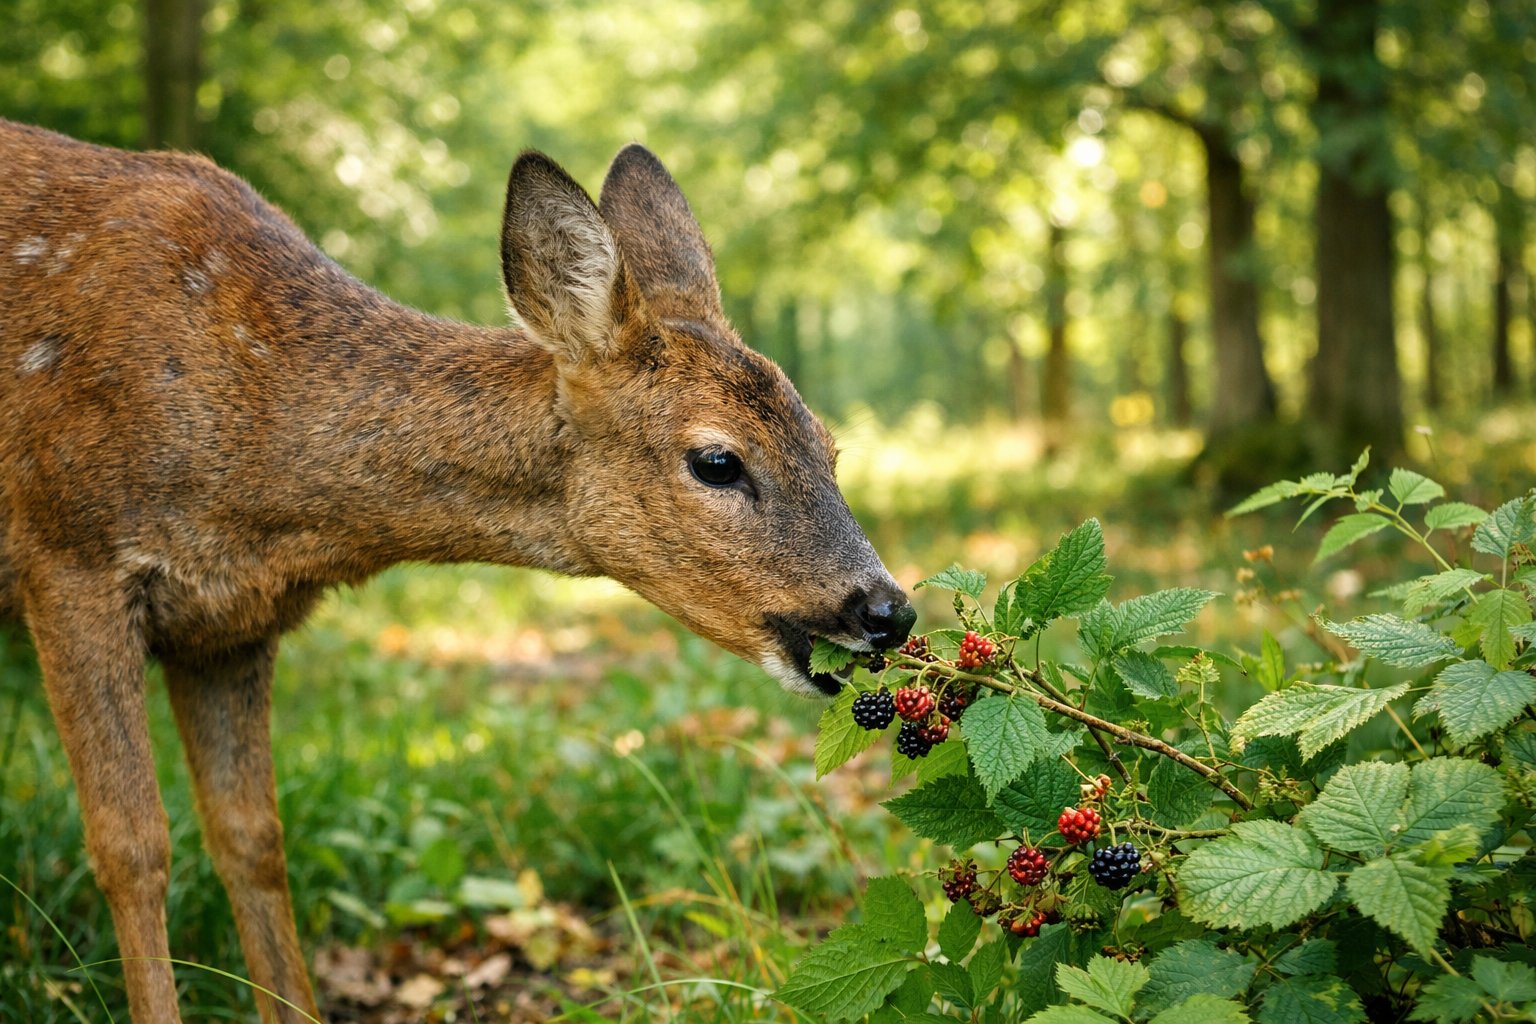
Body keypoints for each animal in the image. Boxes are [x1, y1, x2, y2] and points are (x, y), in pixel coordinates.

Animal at [0, 118, 916, 1024]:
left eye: (830, 447)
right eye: (719, 461)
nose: (887, 610)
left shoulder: (228, 624)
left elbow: (252, 839)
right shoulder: (69, 556)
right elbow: (131, 846)